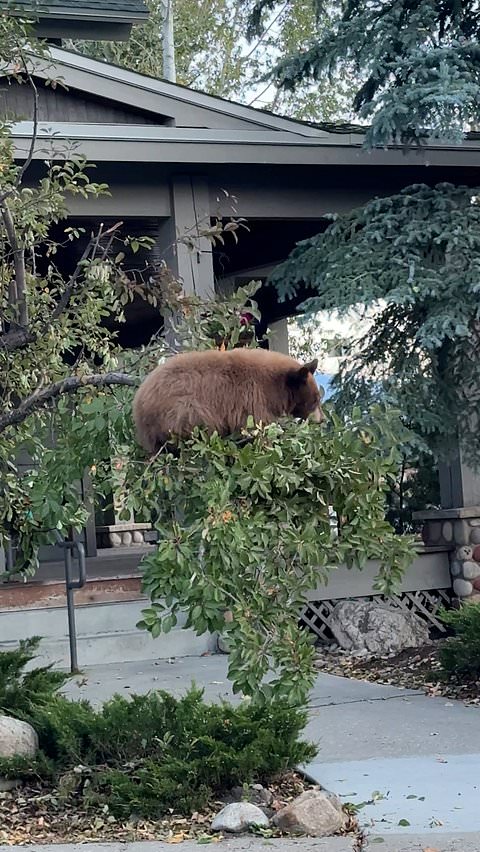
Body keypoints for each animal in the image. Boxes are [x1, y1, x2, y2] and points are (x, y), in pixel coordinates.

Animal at [133, 347, 322, 454]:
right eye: (315, 401)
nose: (322, 420)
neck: (274, 386)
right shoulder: (252, 399)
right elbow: (257, 430)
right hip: (182, 409)